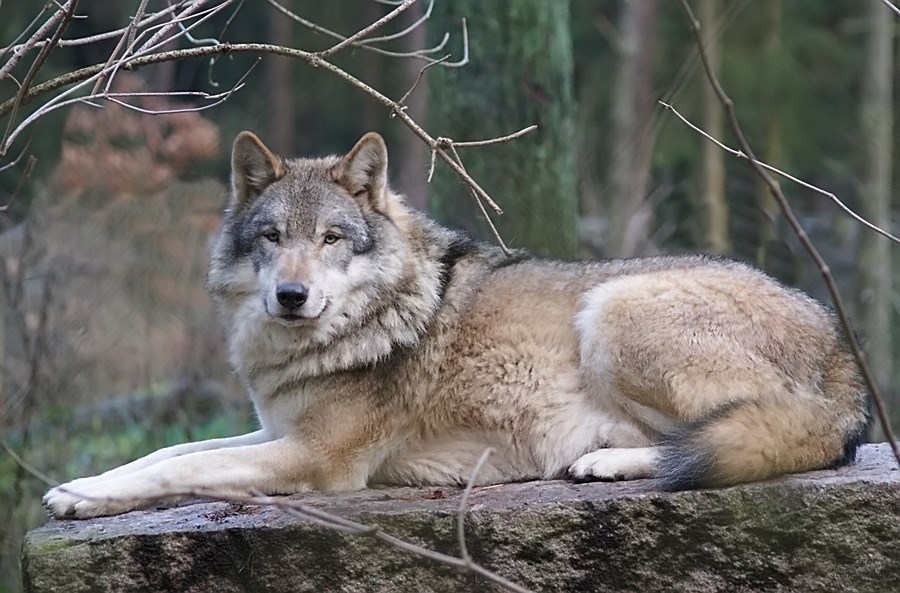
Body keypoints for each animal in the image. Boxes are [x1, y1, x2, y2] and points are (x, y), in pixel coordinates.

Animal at [44, 132, 872, 516]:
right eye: (272, 237)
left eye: (332, 238)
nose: (291, 295)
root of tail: (842, 351)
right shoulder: (273, 429)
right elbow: (167, 450)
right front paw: (78, 486)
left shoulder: (315, 459)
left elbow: (174, 468)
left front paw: (82, 495)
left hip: (611, 311)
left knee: (744, 439)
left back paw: (607, 463)